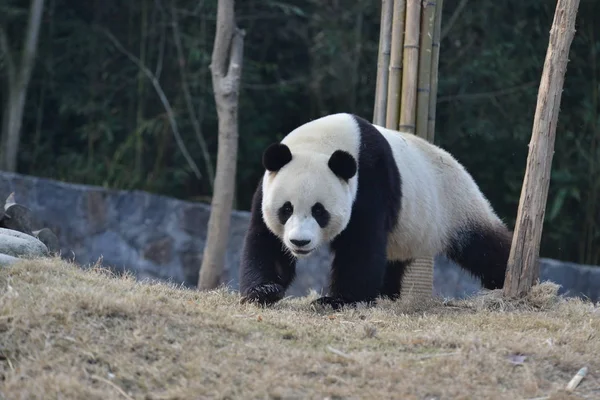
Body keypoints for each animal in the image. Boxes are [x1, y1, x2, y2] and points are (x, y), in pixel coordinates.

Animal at [239, 112, 510, 310]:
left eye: (319, 211)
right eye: (286, 209)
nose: (299, 242)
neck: (322, 143)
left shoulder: (370, 179)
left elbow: (361, 244)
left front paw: (337, 300)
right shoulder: (266, 186)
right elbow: (266, 242)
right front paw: (264, 291)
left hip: (454, 205)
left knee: (484, 246)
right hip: (408, 230)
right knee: (393, 260)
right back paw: (386, 293)